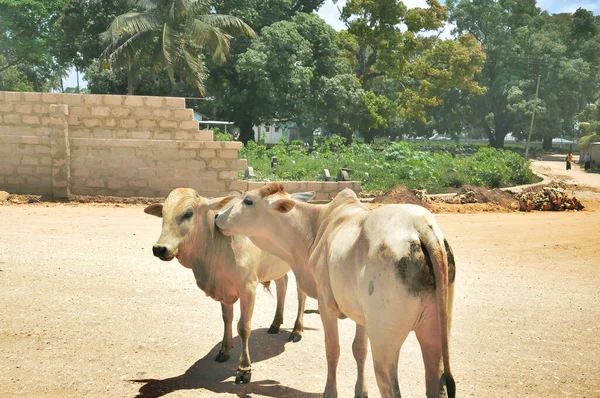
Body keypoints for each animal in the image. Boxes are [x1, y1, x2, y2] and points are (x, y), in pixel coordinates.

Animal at [145, 188, 310, 384]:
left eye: (188, 213)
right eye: (163, 214)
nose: (159, 248)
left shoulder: (248, 288)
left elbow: (243, 326)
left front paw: (244, 369)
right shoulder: (223, 287)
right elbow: (227, 318)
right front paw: (224, 350)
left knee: (301, 294)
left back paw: (297, 330)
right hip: (276, 267)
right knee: (282, 285)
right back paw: (276, 324)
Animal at [216, 183, 454, 398]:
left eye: (248, 201)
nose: (218, 216)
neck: (315, 228)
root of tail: (421, 227)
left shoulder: (327, 306)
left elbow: (333, 350)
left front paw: (330, 392)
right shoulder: (360, 315)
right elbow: (359, 350)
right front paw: (361, 393)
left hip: (385, 341)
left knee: (389, 384)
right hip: (433, 333)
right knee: (437, 381)